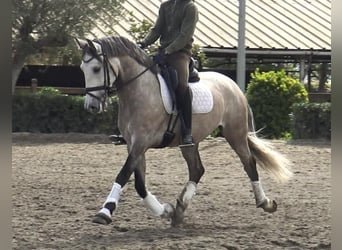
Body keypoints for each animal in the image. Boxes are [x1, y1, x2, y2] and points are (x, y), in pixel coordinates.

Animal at [75, 34, 292, 227]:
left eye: (96, 68)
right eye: (82, 69)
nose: (91, 106)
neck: (139, 90)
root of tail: (234, 86)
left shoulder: (141, 143)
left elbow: (123, 174)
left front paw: (104, 212)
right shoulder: (134, 145)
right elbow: (139, 184)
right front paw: (165, 210)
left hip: (235, 134)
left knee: (249, 163)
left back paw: (265, 202)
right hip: (190, 141)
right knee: (197, 169)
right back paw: (179, 210)